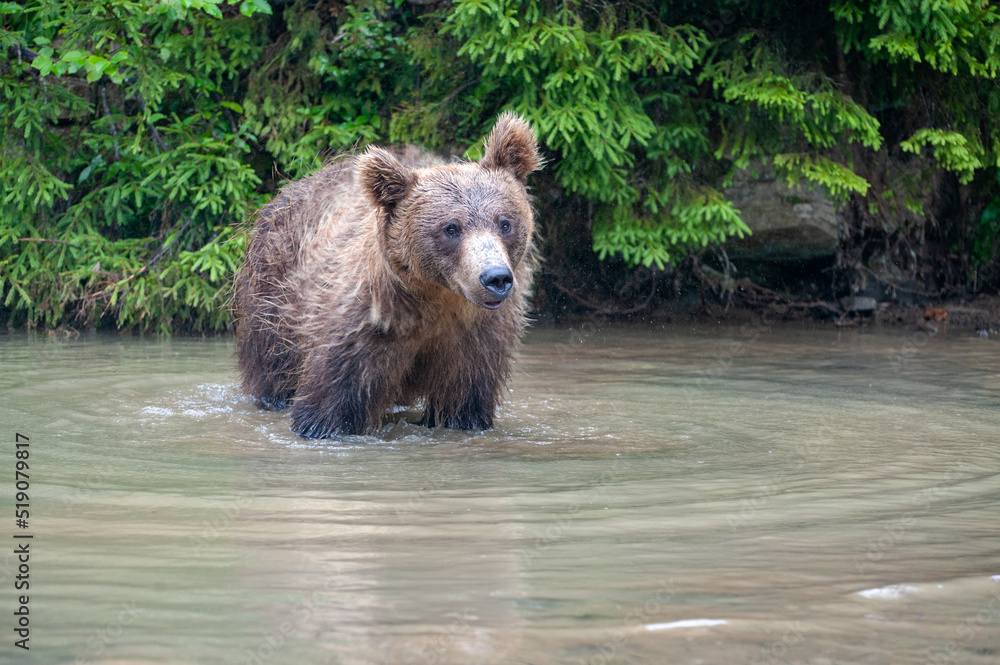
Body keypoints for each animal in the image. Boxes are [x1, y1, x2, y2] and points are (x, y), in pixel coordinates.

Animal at [233, 112, 541, 438]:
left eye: (505, 223)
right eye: (451, 228)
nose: (496, 278)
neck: (434, 298)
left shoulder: (474, 341)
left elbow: (463, 404)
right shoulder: (361, 326)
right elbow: (331, 403)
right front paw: (318, 423)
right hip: (274, 298)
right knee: (272, 370)